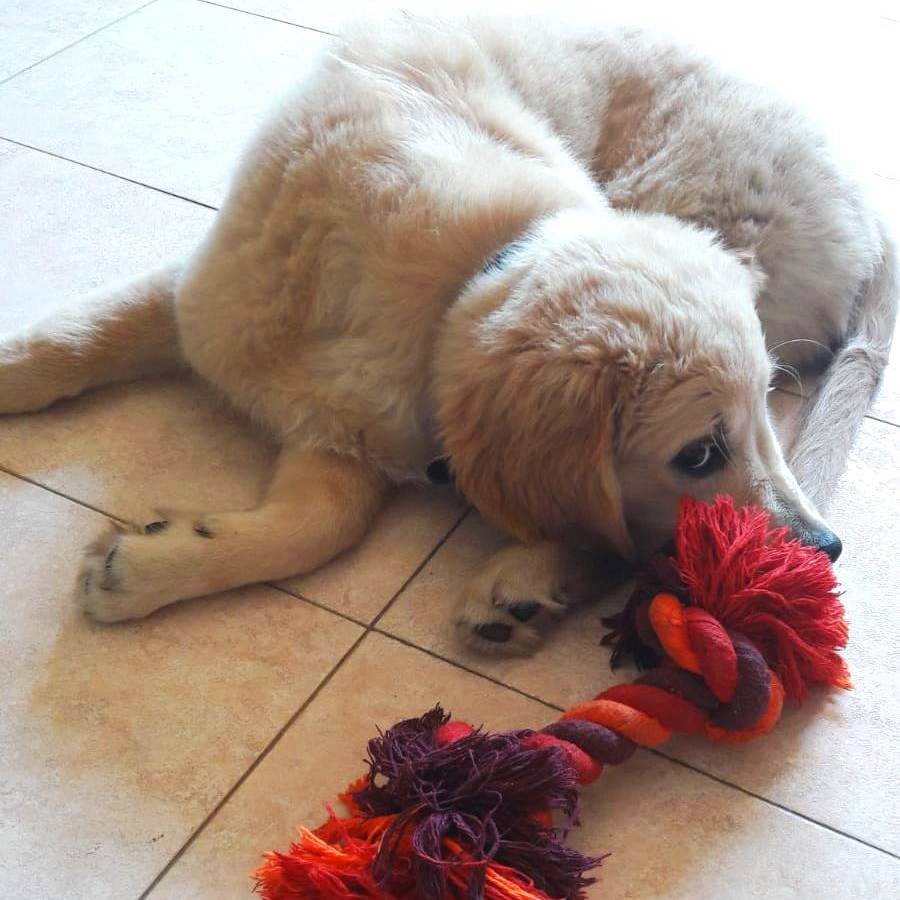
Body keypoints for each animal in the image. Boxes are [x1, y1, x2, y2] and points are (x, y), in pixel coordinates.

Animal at [0, 16, 895, 654]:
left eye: (754, 425)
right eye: (701, 454)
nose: (826, 549)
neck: (465, 274)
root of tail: (867, 205)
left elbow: (321, 531)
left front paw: (149, 565)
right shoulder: (228, 307)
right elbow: (85, 333)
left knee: (611, 536)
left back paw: (523, 585)